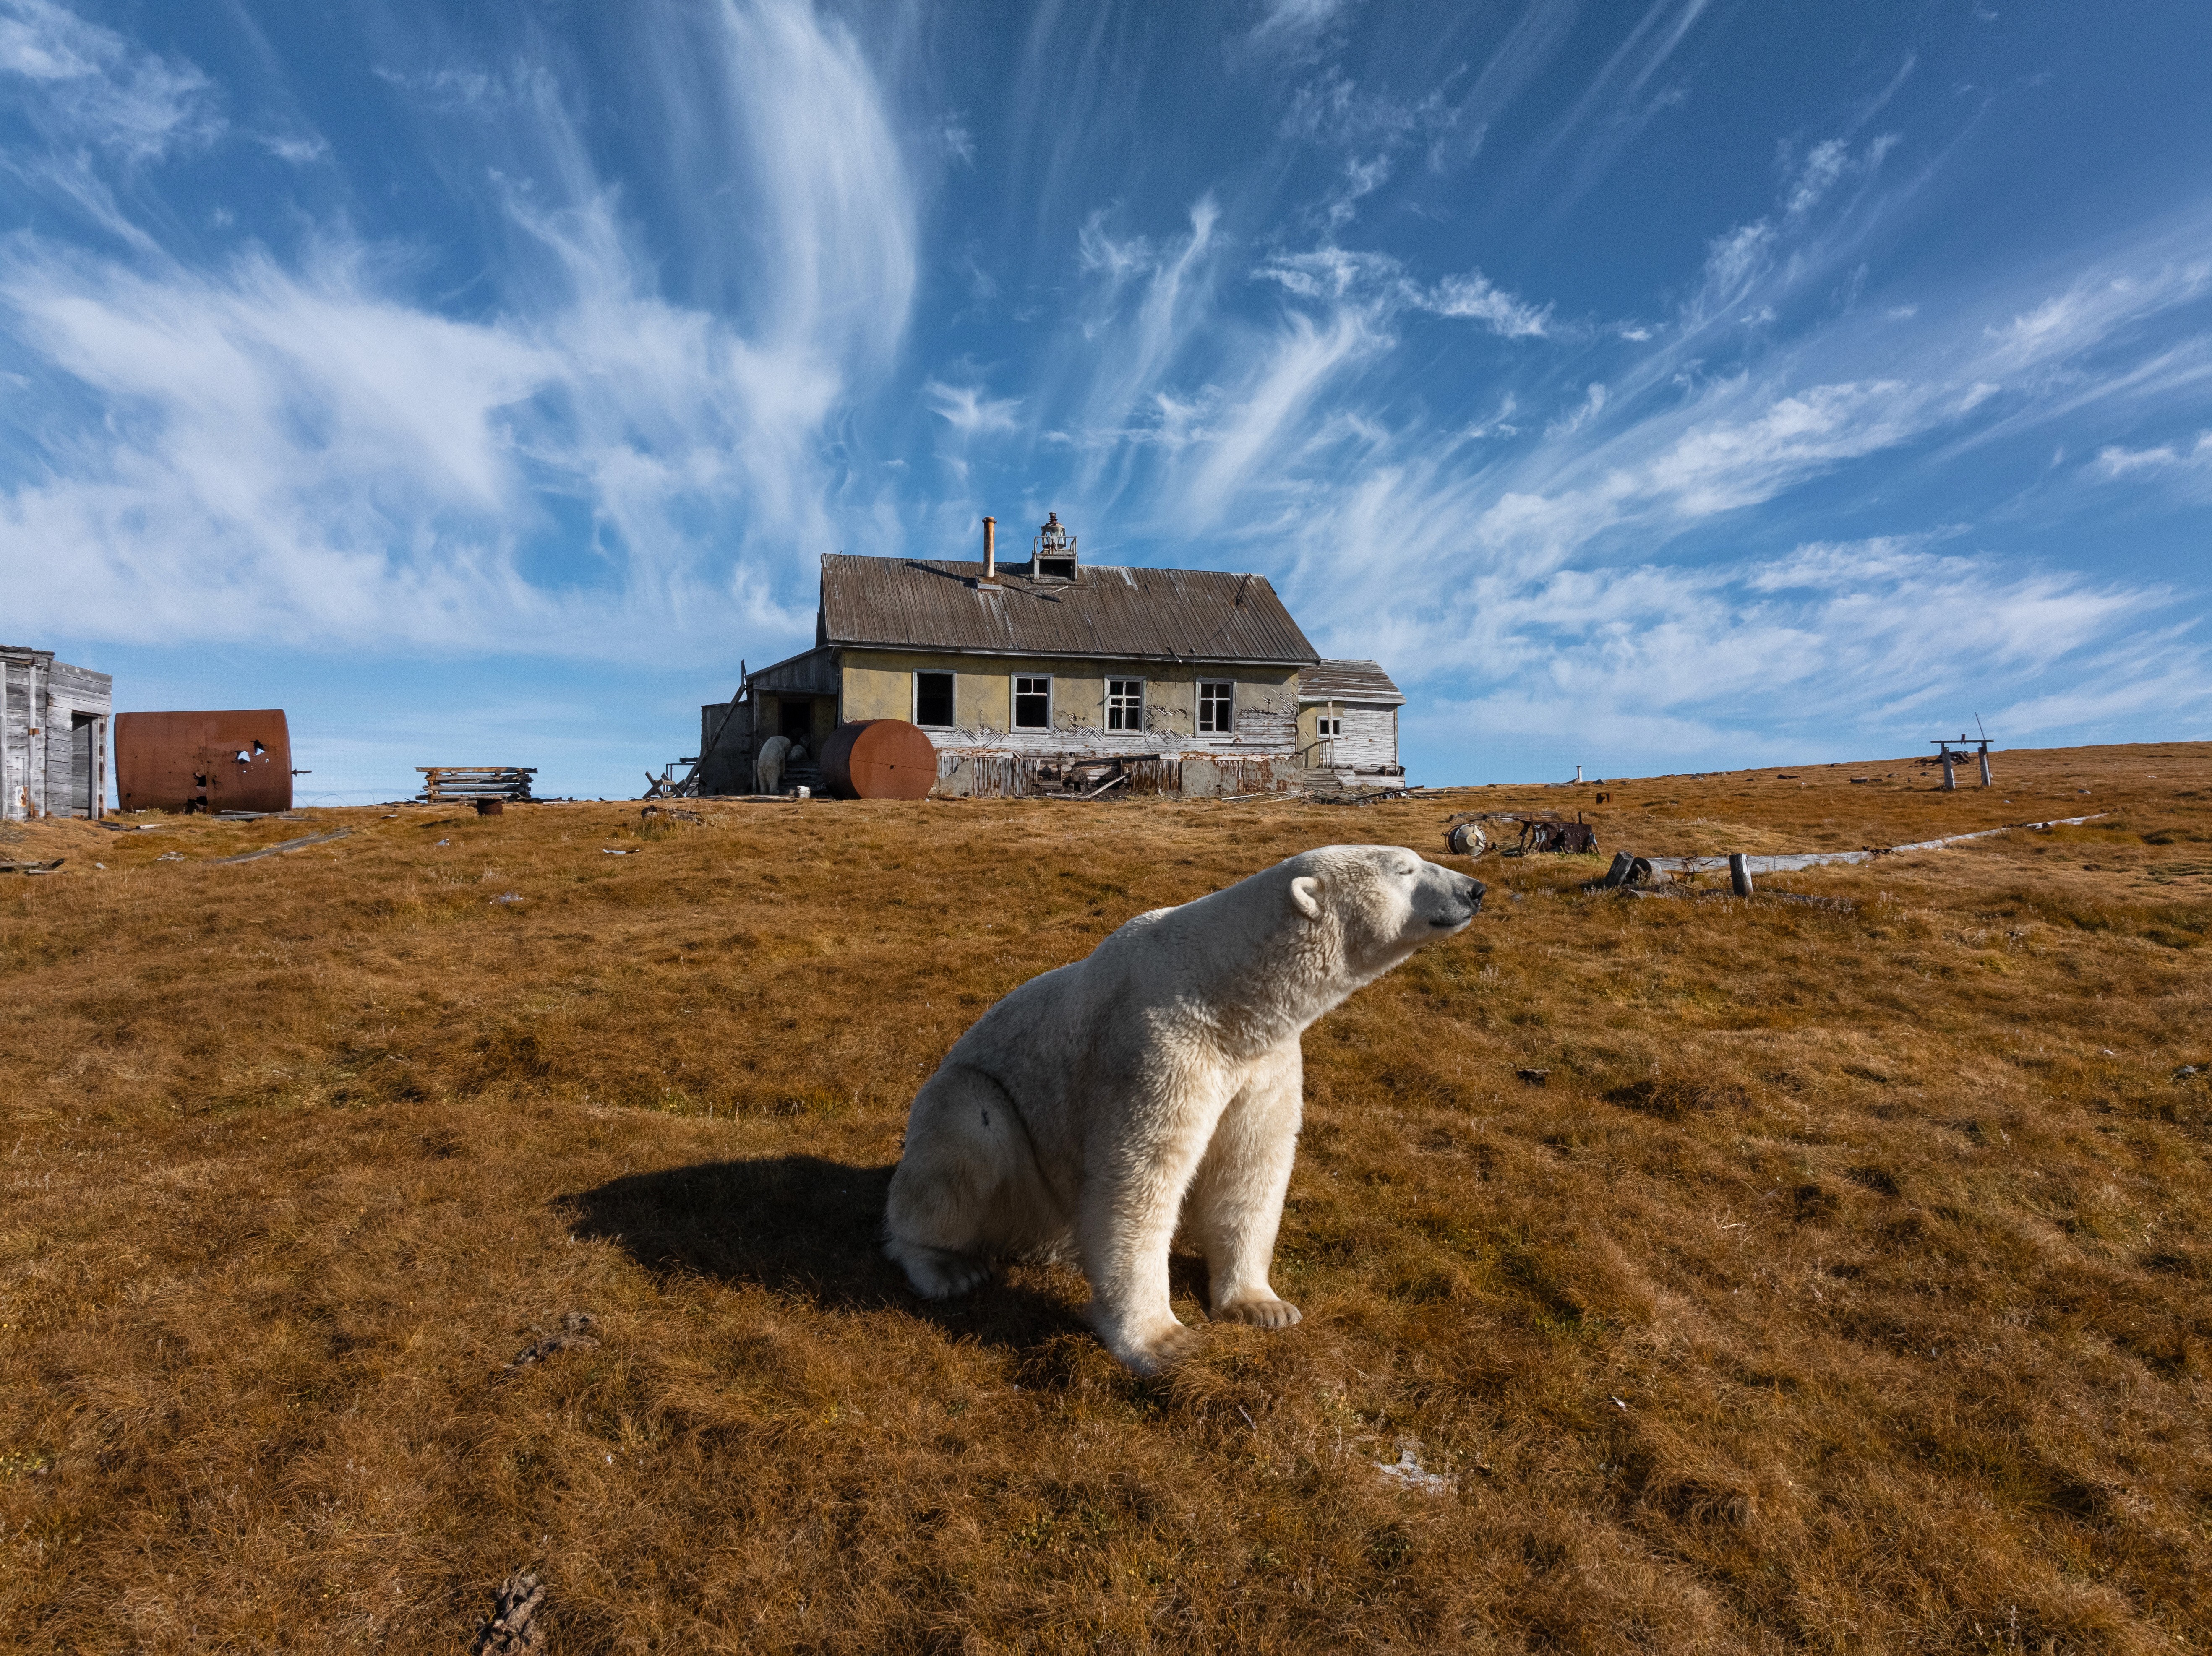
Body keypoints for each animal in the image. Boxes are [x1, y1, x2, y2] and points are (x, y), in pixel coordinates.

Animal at [883, 843, 1485, 1373]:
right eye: (1404, 869)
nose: (1475, 889)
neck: (1228, 994)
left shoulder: (1264, 1062)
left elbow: (1250, 1166)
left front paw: (1263, 1306)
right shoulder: (1159, 1045)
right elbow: (1141, 1177)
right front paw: (1164, 1340)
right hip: (987, 1129)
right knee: (963, 1141)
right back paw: (948, 1267)